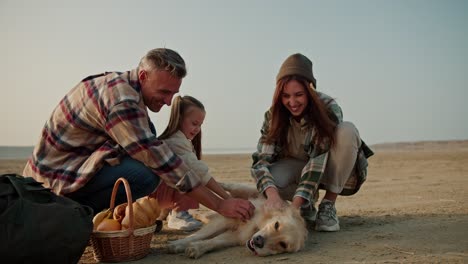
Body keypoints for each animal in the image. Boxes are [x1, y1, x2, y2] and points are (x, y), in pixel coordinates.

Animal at [167, 183, 308, 258]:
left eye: (283, 245)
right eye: (276, 225)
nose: (259, 241)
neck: (255, 228)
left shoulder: (236, 235)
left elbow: (214, 241)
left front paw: (197, 248)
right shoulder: (227, 220)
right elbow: (199, 235)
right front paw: (177, 244)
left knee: (207, 215)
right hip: (242, 190)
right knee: (226, 186)